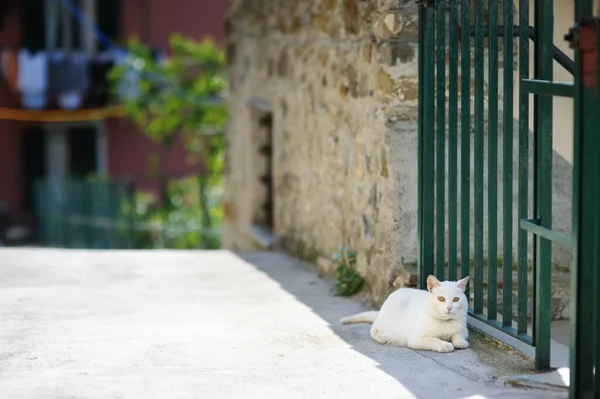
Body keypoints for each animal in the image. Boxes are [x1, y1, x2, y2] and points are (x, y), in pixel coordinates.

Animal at [340, 276, 472, 354]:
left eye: (456, 299)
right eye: (441, 299)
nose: (449, 308)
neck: (445, 323)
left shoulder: (464, 331)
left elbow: (457, 336)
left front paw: (460, 342)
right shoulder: (416, 339)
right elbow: (434, 340)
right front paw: (444, 344)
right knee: (374, 329)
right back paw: (381, 337)